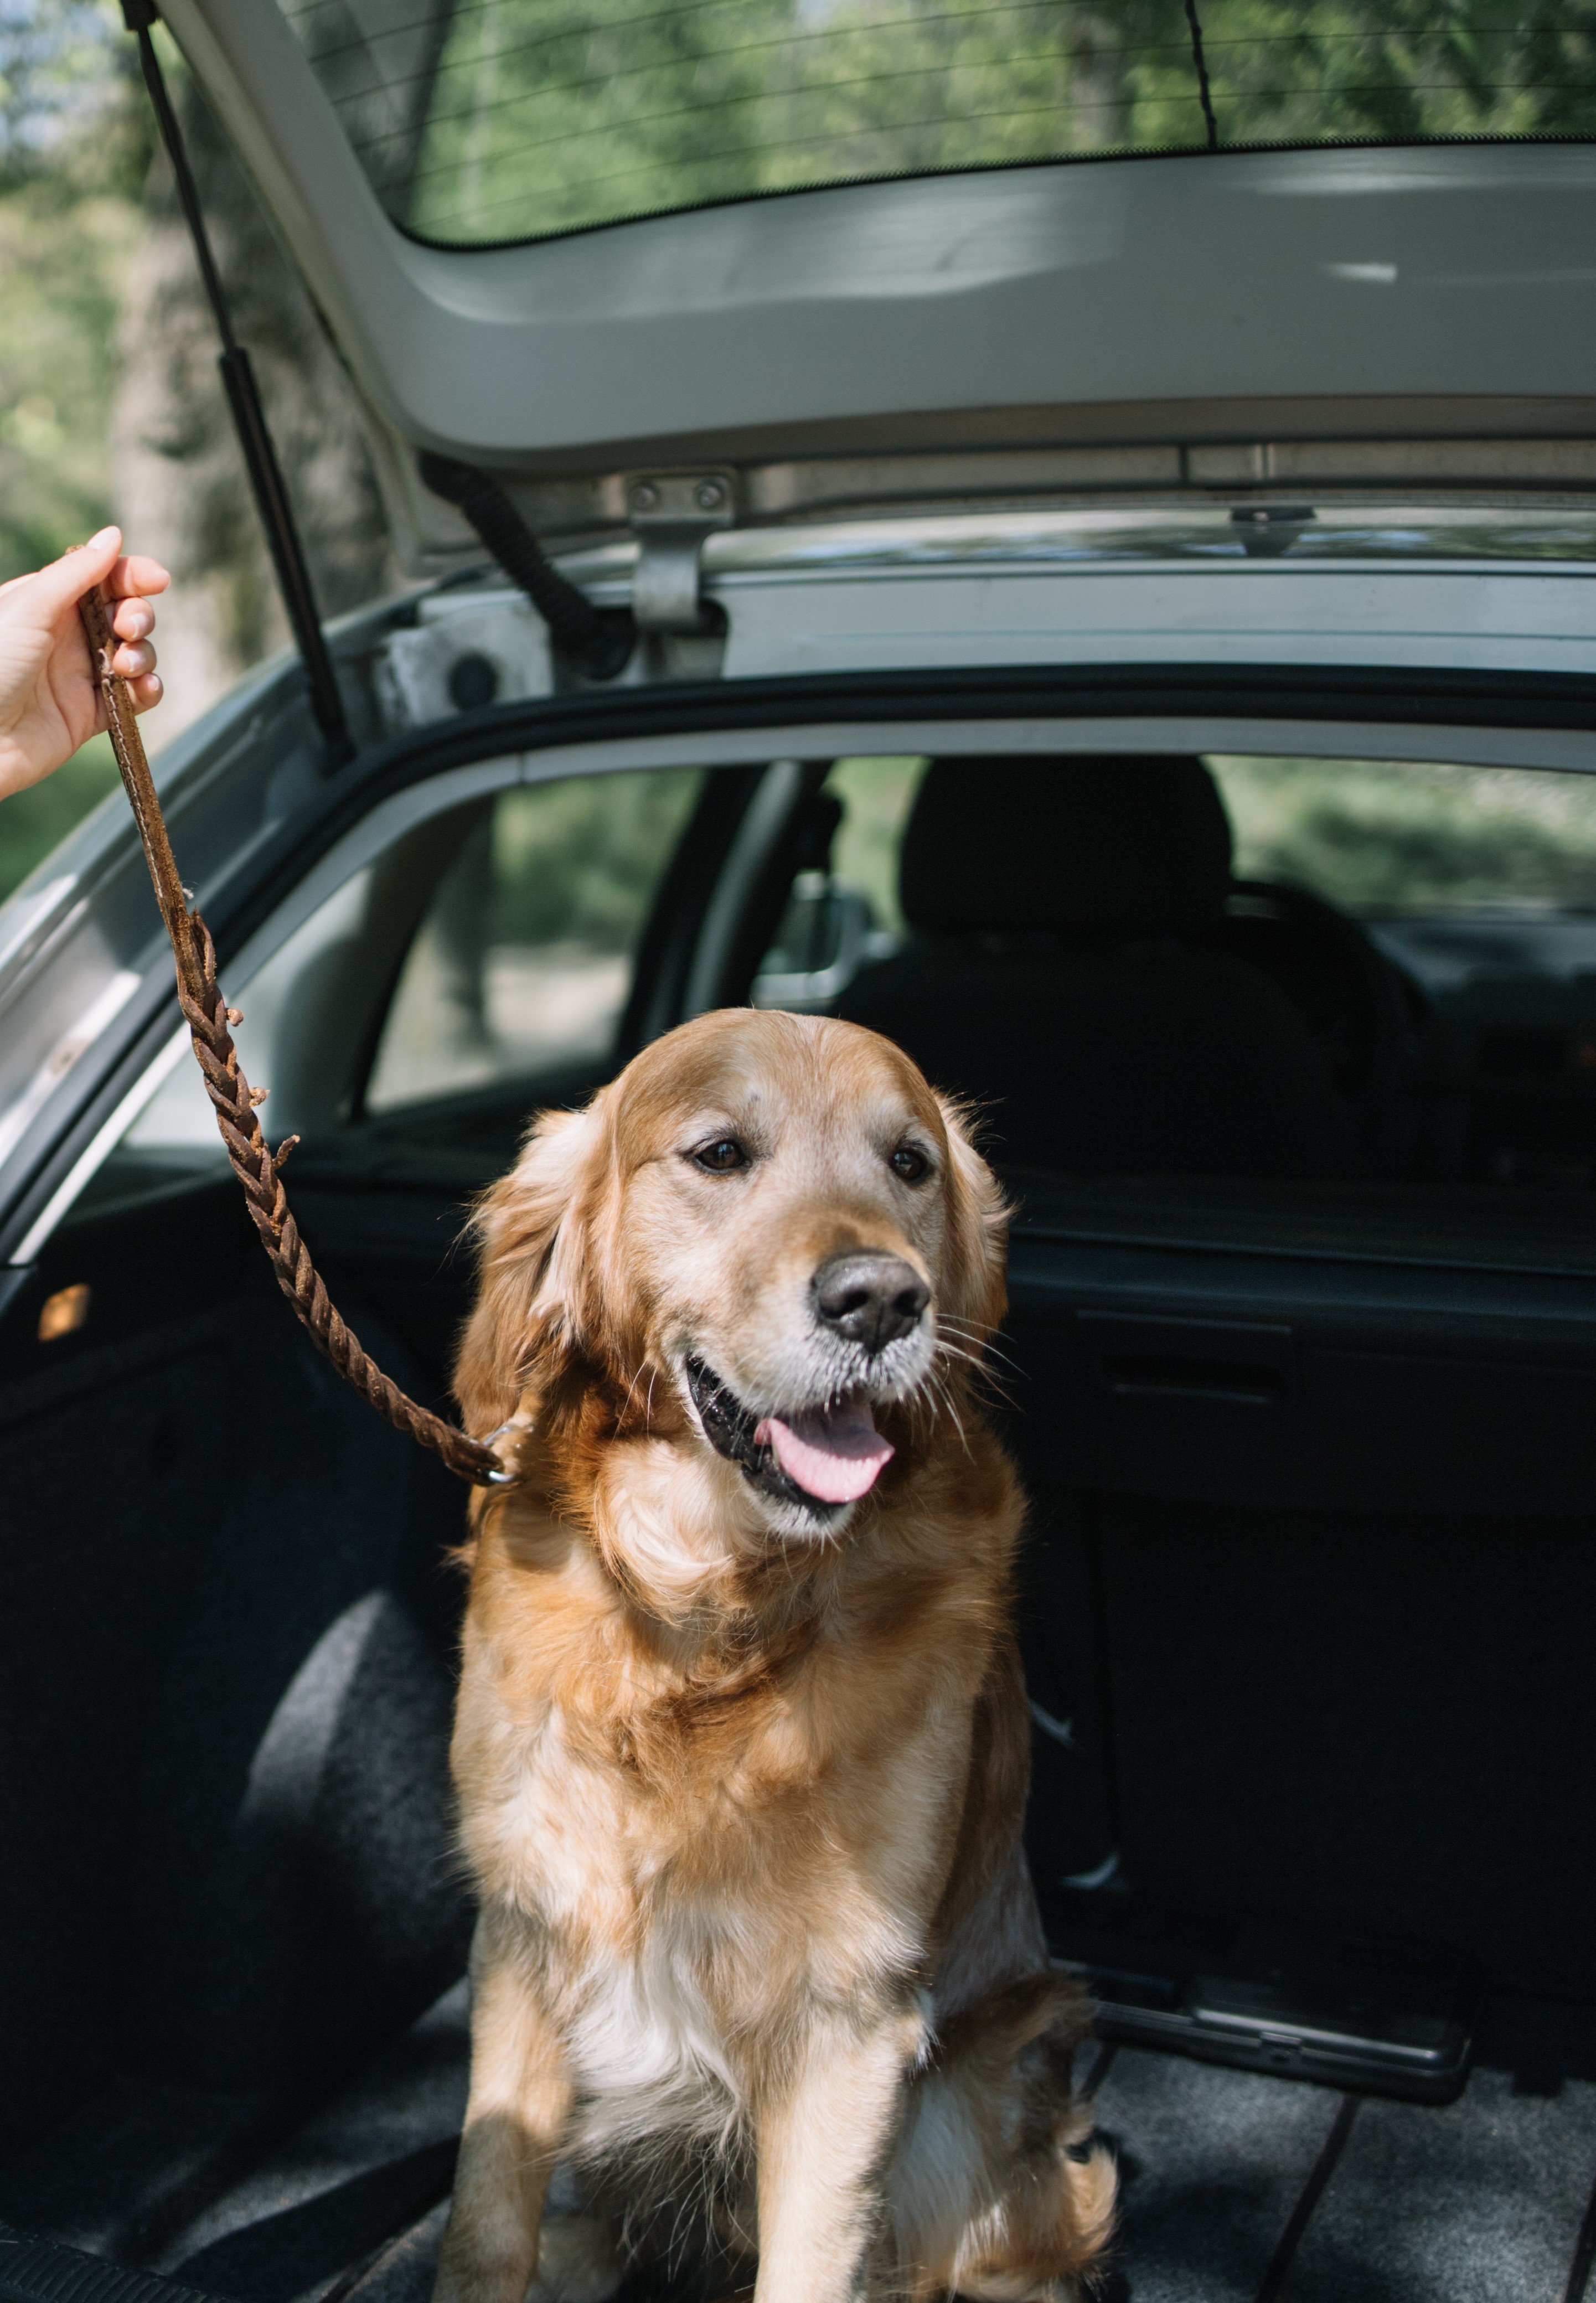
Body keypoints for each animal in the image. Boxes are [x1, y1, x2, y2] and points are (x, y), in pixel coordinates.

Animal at [430, 1009, 1114, 2303]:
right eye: (718, 1155)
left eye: (910, 1164)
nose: (880, 1299)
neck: (703, 1619)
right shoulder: (522, 1936)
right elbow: (485, 2225)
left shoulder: (848, 2018)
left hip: (967, 2122)